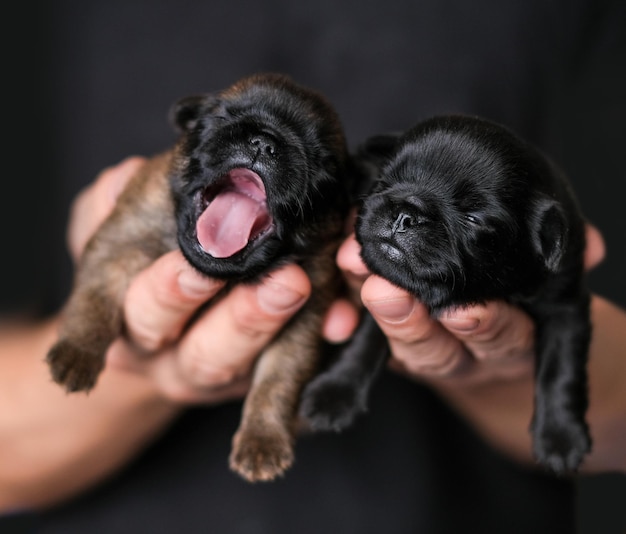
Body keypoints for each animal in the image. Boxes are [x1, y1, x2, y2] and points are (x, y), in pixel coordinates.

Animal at [46, 74, 352, 486]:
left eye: (322, 161)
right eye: (221, 116)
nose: (263, 142)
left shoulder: (305, 313)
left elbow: (278, 379)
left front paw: (262, 440)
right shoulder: (122, 240)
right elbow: (96, 298)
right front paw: (78, 352)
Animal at [302, 115, 588, 476]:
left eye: (473, 218)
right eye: (383, 180)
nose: (405, 213)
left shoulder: (565, 304)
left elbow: (561, 368)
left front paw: (561, 437)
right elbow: (365, 339)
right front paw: (336, 392)